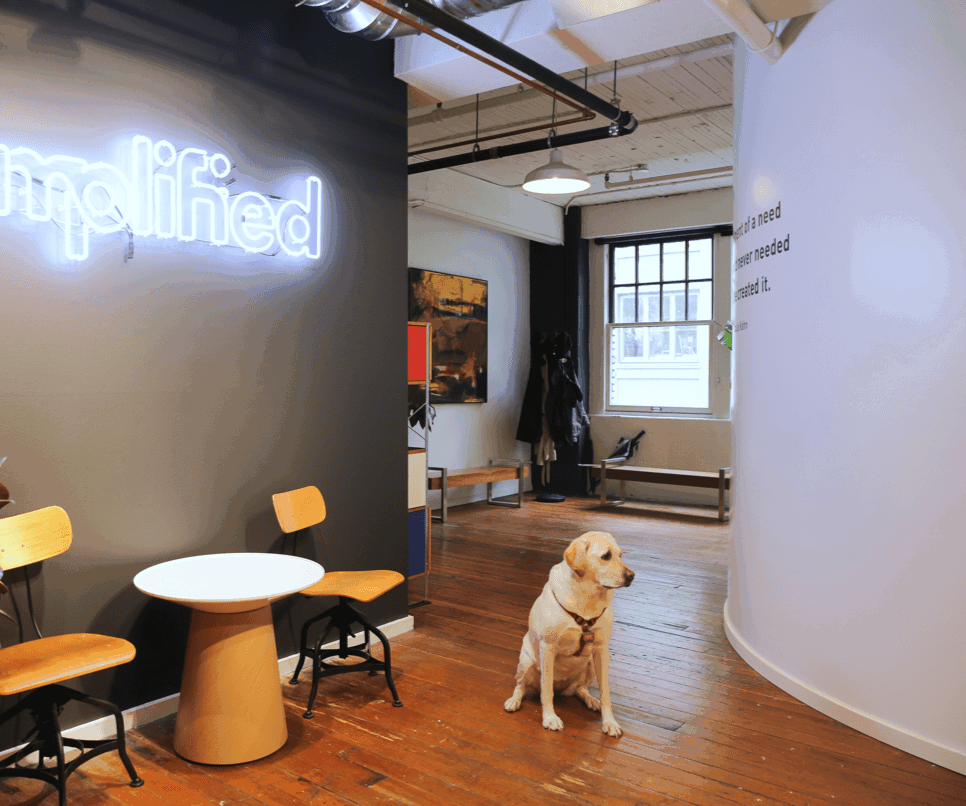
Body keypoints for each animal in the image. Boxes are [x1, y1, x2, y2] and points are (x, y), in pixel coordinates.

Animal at [506, 532, 636, 736]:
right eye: (606, 556)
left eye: (620, 555)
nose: (632, 576)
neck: (587, 596)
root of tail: (563, 688)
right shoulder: (548, 648)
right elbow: (547, 691)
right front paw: (550, 718)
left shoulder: (601, 650)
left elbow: (606, 692)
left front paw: (609, 722)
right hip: (527, 662)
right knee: (521, 686)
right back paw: (514, 700)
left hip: (590, 663)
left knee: (580, 689)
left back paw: (591, 700)